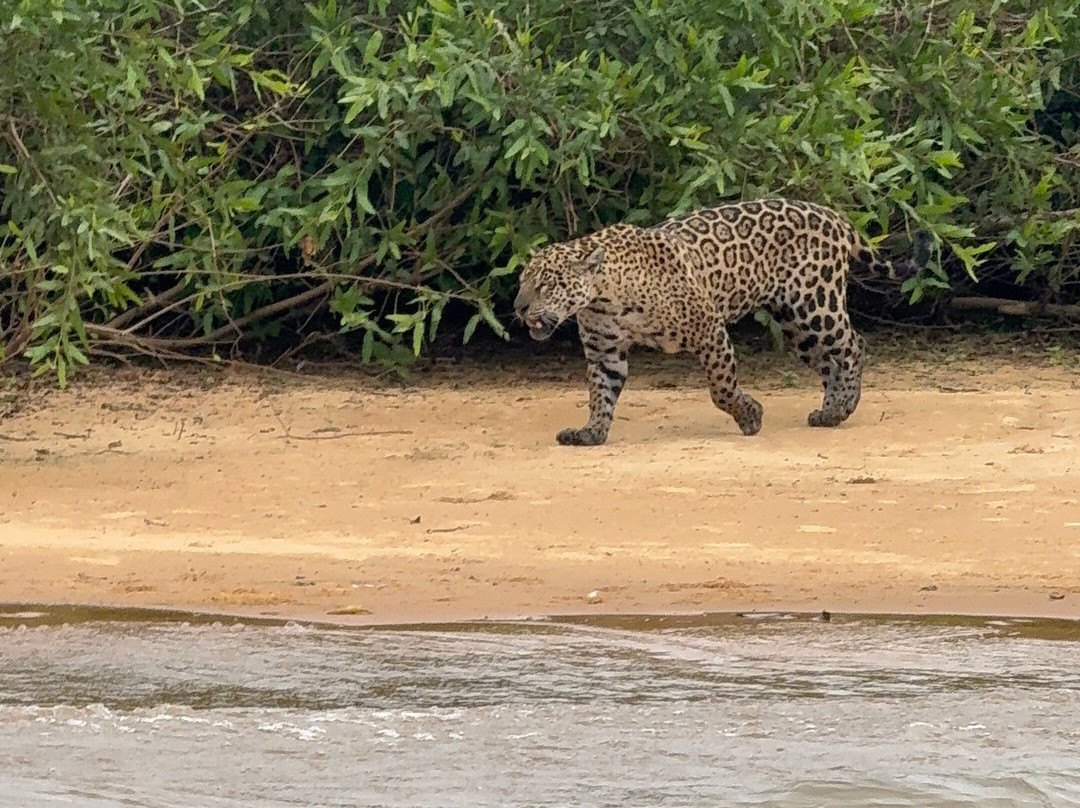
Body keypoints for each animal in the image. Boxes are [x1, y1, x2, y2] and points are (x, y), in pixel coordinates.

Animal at [513, 198, 932, 446]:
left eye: (546, 284)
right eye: (521, 283)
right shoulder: (605, 351)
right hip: (795, 322)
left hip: (814, 304)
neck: (604, 296)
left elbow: (721, 388)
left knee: (852, 345)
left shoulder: (709, 328)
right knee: (829, 360)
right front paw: (592, 432)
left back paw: (843, 407)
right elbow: (601, 393)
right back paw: (829, 412)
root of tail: (836, 217)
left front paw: (750, 416)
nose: (518, 308)